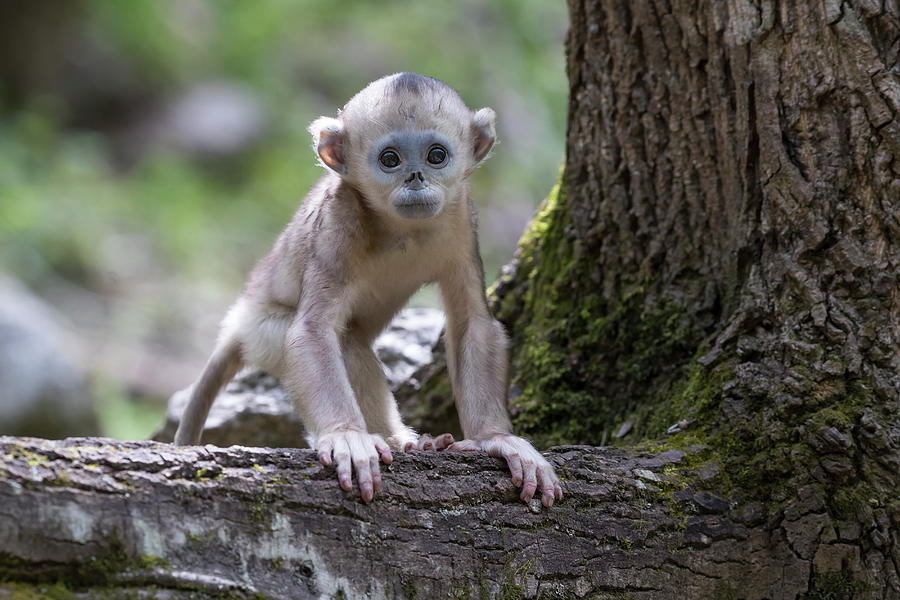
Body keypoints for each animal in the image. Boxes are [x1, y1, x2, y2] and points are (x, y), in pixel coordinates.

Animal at [176, 74, 564, 506]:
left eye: (436, 155)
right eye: (390, 160)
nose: (415, 178)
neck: (405, 232)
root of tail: (238, 324)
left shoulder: (463, 218)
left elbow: (473, 324)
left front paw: (496, 439)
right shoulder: (338, 221)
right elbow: (312, 331)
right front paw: (346, 435)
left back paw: (408, 442)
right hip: (263, 334)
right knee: (344, 343)